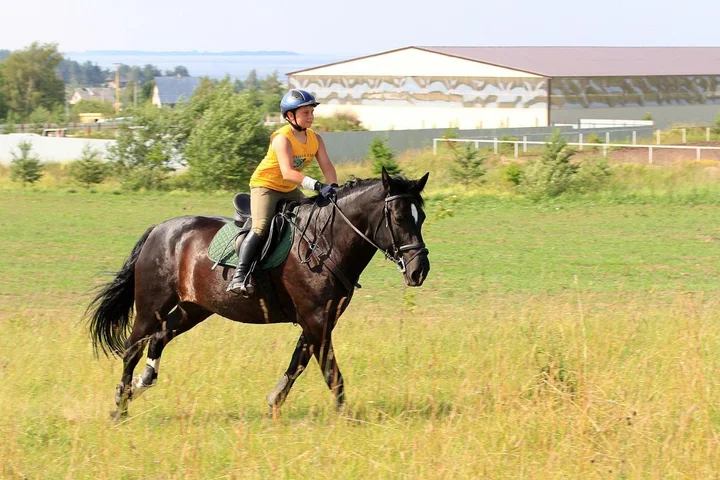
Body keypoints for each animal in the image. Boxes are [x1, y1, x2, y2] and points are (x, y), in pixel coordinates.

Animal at [87, 169, 430, 419]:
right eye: (399, 217)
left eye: (422, 218)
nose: (419, 271)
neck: (325, 242)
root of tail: (159, 229)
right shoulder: (316, 320)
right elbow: (331, 373)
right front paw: (345, 418)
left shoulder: (319, 322)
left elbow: (298, 362)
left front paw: (274, 403)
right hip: (152, 304)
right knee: (132, 348)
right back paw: (121, 405)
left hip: (193, 308)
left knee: (159, 338)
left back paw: (140, 385)